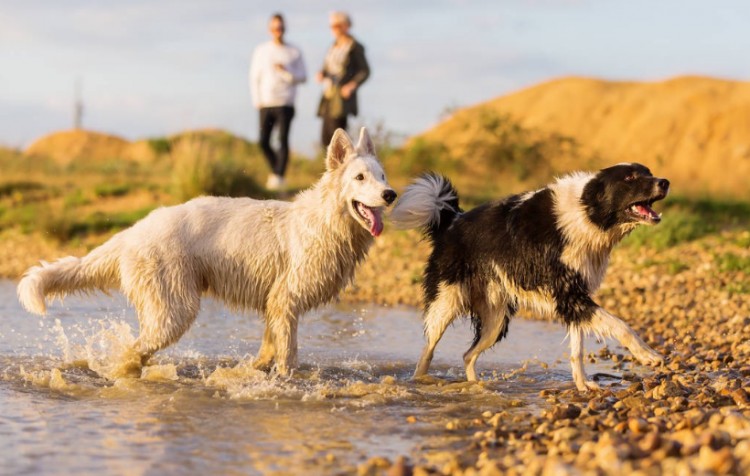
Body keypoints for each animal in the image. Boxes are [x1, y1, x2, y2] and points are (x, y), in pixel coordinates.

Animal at [17, 128, 396, 378]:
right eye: (360, 178)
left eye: (382, 176)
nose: (390, 194)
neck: (325, 220)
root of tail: (132, 232)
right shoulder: (287, 300)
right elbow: (288, 355)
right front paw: (286, 381)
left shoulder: (275, 303)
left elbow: (269, 346)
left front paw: (258, 369)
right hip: (175, 310)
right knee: (132, 352)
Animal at [394, 164, 668, 390]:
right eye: (630, 177)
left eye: (649, 171)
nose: (665, 181)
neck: (586, 213)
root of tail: (453, 219)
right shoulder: (570, 295)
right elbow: (622, 325)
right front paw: (649, 355)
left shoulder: (574, 298)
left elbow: (577, 350)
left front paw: (582, 385)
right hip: (446, 302)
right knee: (428, 351)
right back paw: (420, 382)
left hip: (496, 319)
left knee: (468, 355)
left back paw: (477, 386)